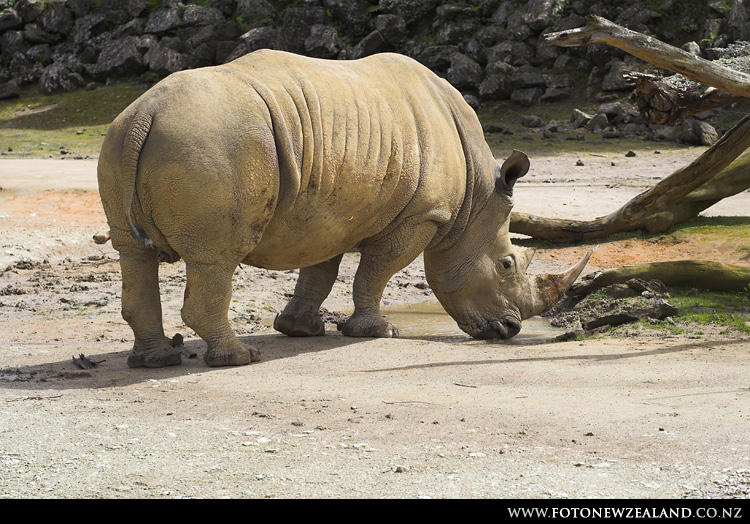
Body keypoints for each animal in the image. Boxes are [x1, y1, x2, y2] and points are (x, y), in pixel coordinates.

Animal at [97, 49, 589, 368]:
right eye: (507, 265)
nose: (510, 331)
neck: (474, 201)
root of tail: (146, 113)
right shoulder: (423, 215)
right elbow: (376, 271)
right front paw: (380, 332)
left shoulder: (328, 208)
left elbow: (321, 268)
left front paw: (299, 330)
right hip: (210, 143)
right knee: (216, 258)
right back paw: (239, 359)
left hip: (121, 140)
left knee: (133, 253)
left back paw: (155, 362)